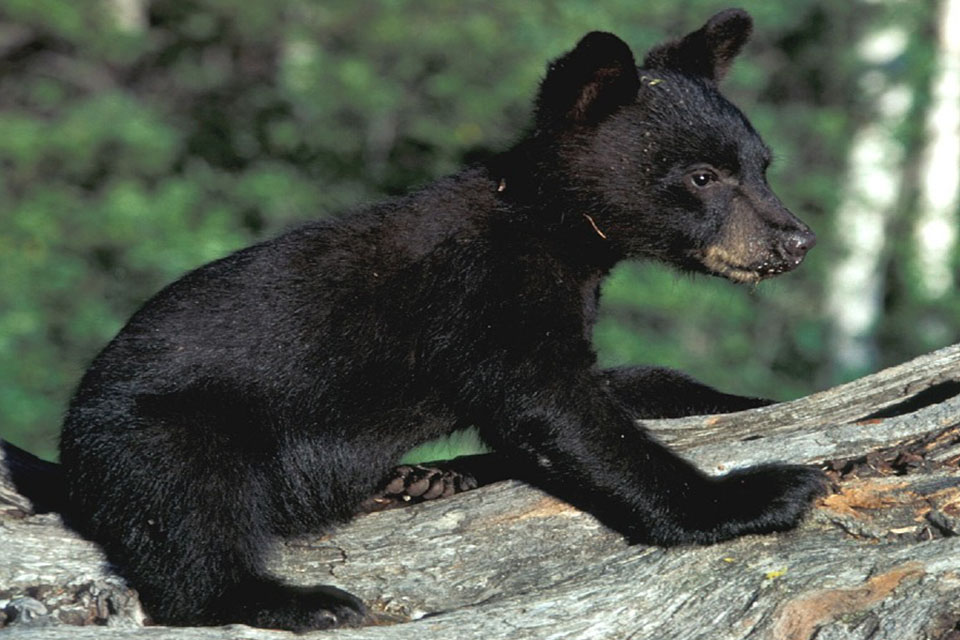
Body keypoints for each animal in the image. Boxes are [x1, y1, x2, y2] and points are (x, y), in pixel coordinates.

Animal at [59, 8, 825, 632]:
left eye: (762, 165)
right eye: (702, 177)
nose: (796, 240)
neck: (551, 232)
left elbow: (622, 382)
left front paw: (756, 401)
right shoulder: (484, 297)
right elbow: (563, 414)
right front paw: (764, 491)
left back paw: (420, 482)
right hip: (162, 427)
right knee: (188, 515)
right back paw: (303, 599)